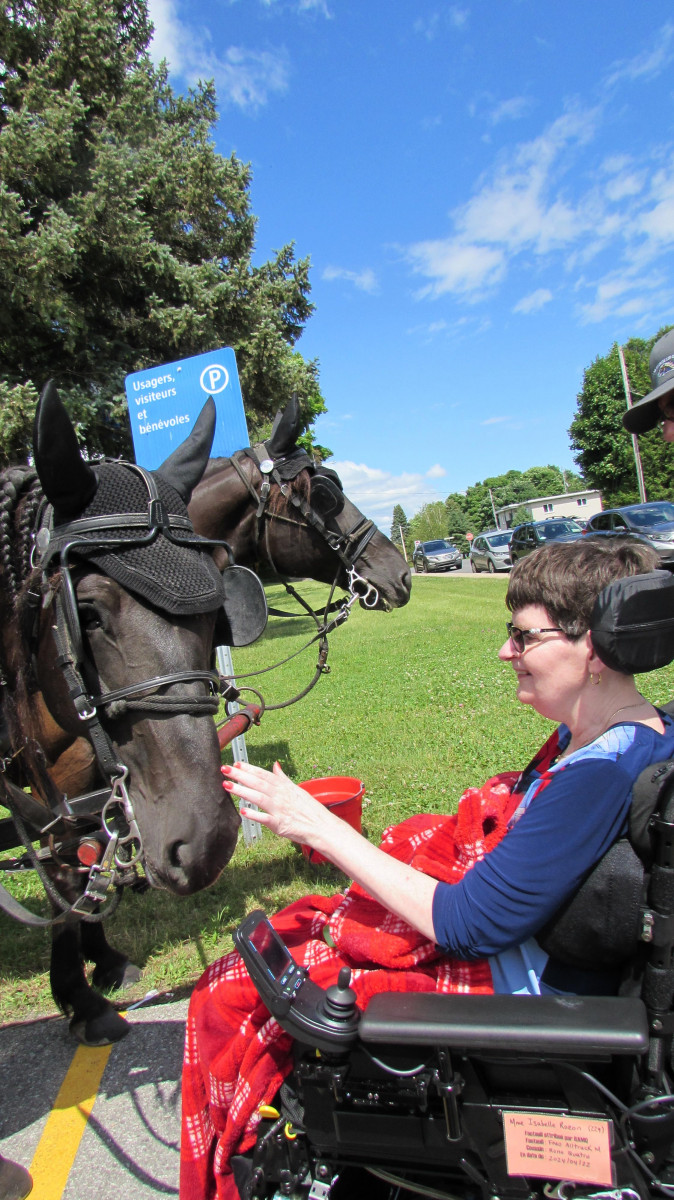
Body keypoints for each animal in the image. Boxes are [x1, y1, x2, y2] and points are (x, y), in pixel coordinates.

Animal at [0, 381, 241, 1041]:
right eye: (86, 613)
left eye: (217, 601)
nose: (207, 840)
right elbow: (62, 867)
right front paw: (80, 996)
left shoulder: (80, 773)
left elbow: (84, 855)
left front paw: (98, 963)